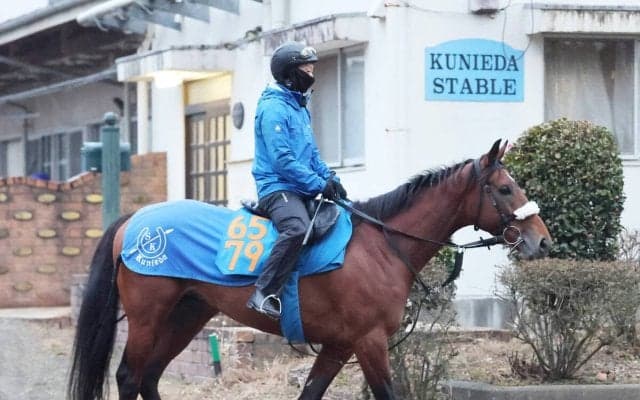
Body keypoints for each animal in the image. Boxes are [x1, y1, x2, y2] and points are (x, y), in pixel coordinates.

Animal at [68, 139, 551, 400]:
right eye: (504, 189)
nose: (542, 240)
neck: (382, 244)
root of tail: (134, 220)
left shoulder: (339, 345)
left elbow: (311, 392)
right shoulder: (369, 341)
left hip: (187, 314)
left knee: (149, 376)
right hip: (148, 317)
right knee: (129, 376)